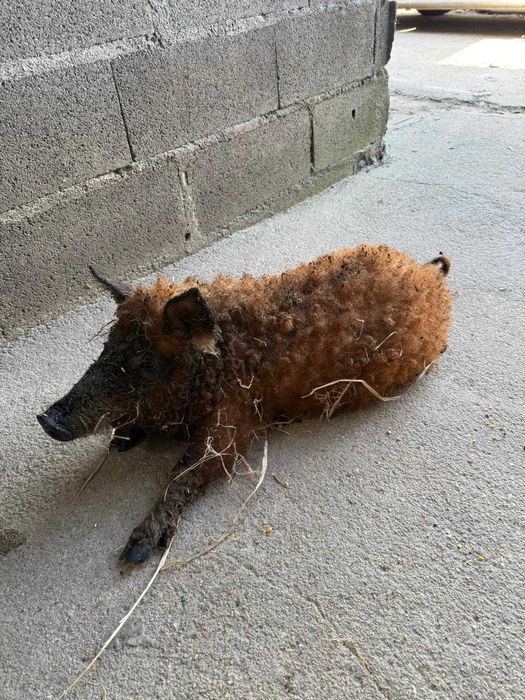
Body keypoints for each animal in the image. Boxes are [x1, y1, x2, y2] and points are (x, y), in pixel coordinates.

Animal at [37, 244, 452, 564]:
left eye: (145, 363)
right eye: (106, 347)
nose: (46, 419)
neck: (221, 359)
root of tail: (428, 274)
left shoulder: (236, 419)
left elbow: (188, 470)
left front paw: (134, 552)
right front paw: (121, 440)